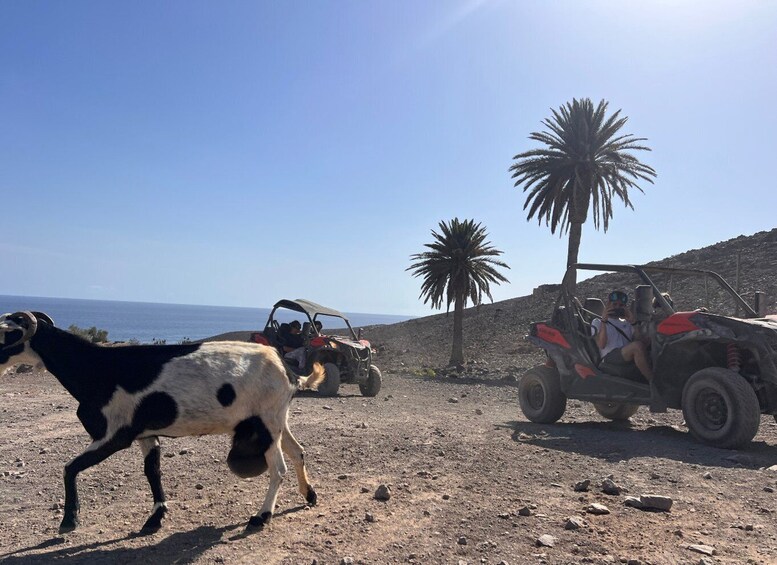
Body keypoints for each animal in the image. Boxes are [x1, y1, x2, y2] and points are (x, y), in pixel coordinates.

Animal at [0, 310, 324, 532]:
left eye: (6, 333)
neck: (98, 368)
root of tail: (287, 369)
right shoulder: (146, 434)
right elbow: (152, 471)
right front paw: (155, 518)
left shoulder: (115, 434)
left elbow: (70, 468)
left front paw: (69, 520)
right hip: (277, 419)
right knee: (298, 452)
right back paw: (309, 494)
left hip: (267, 424)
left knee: (278, 468)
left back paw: (261, 516)